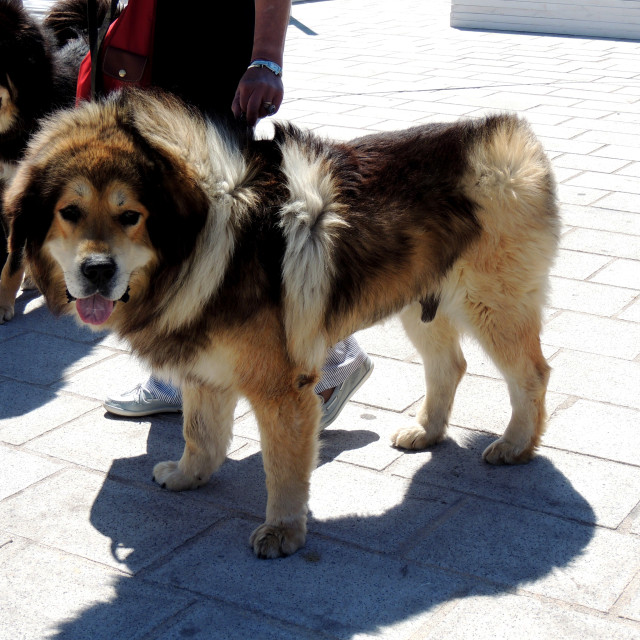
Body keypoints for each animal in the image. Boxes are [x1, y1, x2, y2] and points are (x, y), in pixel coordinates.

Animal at [2, 90, 556, 560]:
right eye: (70, 212)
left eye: (130, 216)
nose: (98, 271)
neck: (204, 237)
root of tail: (511, 134)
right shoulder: (205, 366)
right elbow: (200, 433)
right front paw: (188, 475)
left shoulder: (281, 388)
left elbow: (283, 468)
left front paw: (284, 530)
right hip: (421, 304)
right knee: (450, 366)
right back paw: (427, 431)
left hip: (491, 306)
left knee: (531, 374)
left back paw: (516, 445)